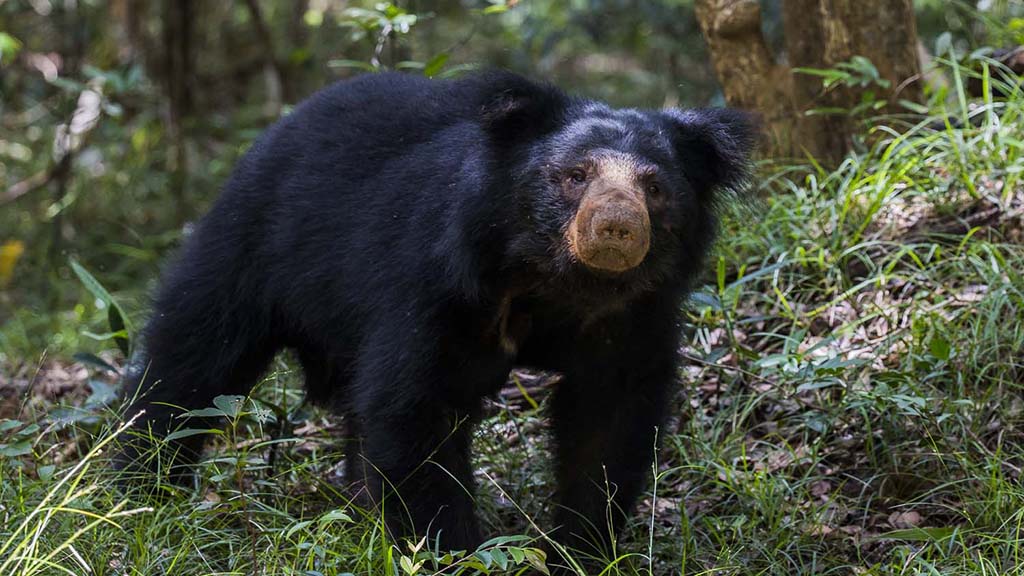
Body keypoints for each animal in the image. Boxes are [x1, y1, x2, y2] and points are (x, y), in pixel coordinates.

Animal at [119, 71, 757, 561]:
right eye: (575, 176)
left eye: (654, 188)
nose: (616, 228)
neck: (554, 279)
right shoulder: (437, 283)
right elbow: (413, 408)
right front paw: (456, 552)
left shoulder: (634, 315)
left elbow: (608, 419)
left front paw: (580, 550)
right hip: (252, 245)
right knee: (190, 361)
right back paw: (141, 492)